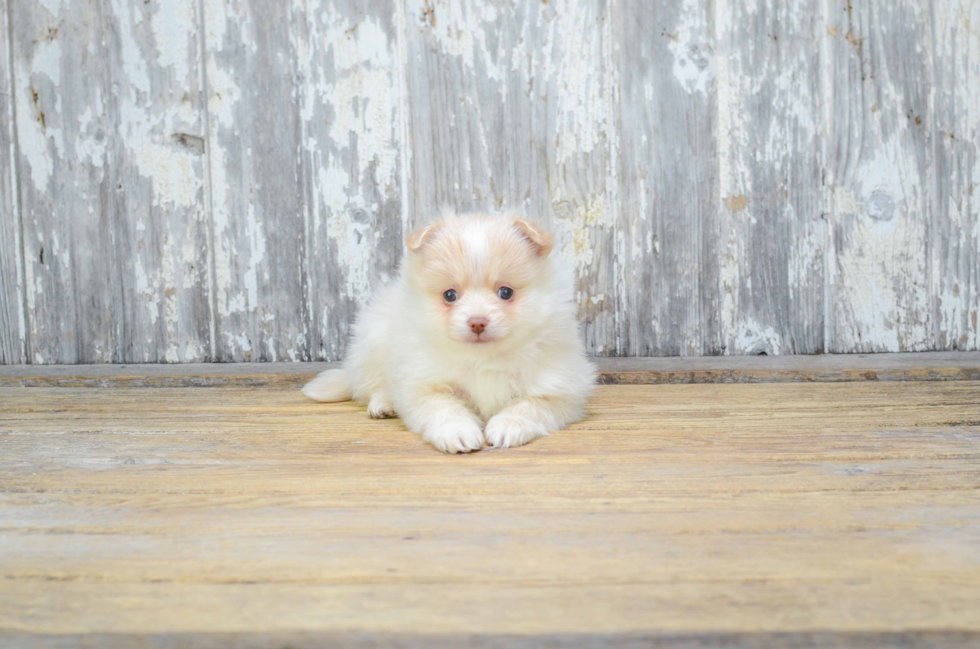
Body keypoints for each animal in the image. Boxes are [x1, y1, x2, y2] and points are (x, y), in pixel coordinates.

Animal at [302, 211, 592, 450]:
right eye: (450, 295)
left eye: (506, 292)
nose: (477, 322)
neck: (482, 358)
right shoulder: (424, 384)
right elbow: (444, 408)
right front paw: (458, 432)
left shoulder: (559, 390)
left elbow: (528, 406)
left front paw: (507, 427)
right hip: (374, 341)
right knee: (374, 384)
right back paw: (383, 403)